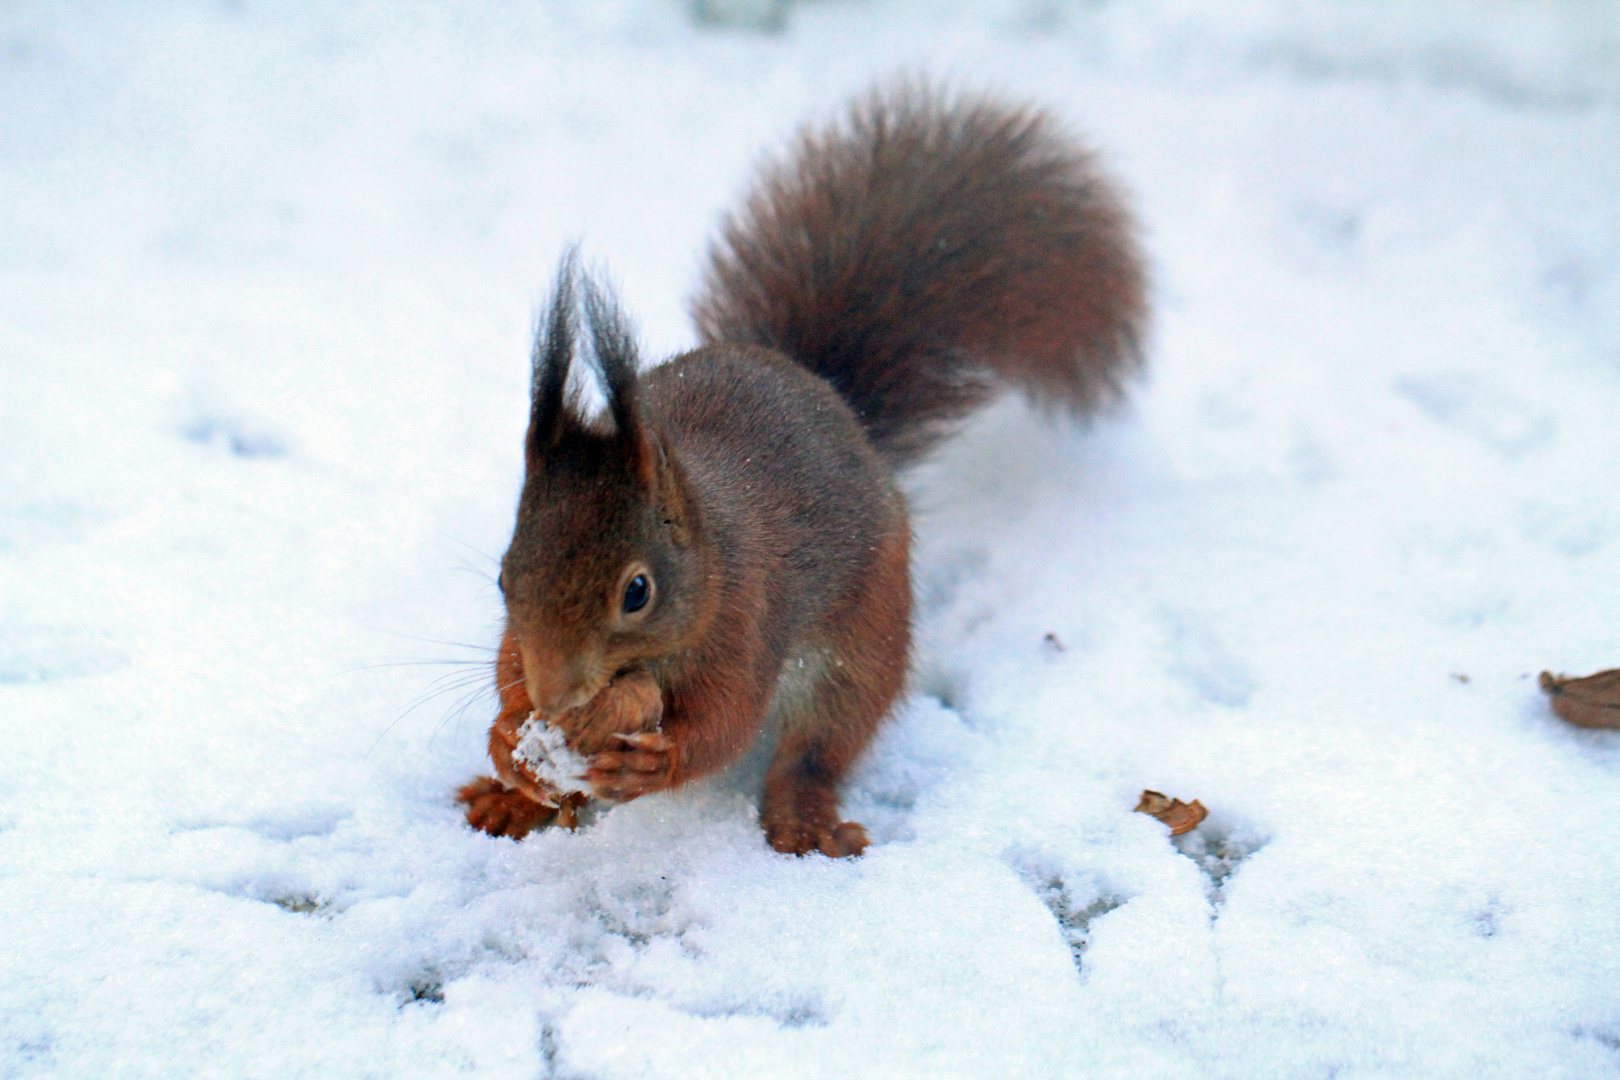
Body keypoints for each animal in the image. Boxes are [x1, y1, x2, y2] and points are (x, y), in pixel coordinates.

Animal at [450, 80, 1146, 854]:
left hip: (864, 640)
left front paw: (651, 763)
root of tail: (835, 401)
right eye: (505, 576)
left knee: (819, 746)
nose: (557, 697)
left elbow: (726, 724)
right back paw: (508, 803)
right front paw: (507, 740)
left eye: (638, 592)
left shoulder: (745, 620)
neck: (708, 554)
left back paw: (803, 820)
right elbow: (507, 671)